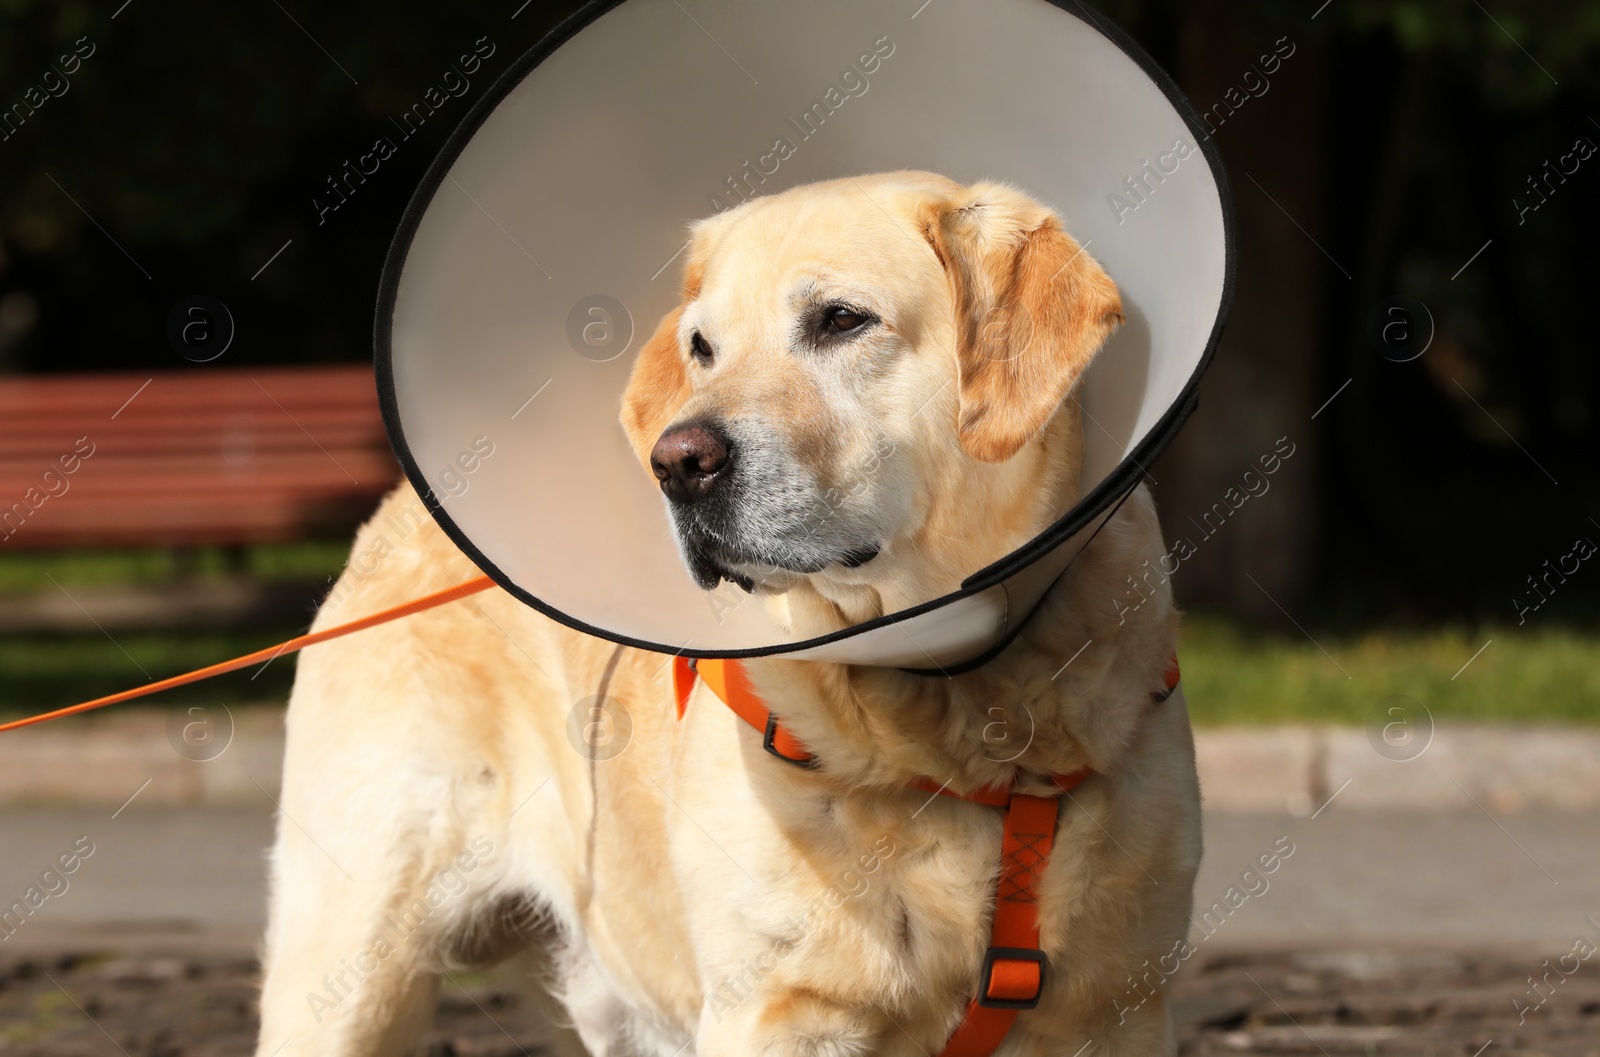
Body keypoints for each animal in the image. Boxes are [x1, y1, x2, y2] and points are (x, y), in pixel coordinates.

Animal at [252, 173, 1203, 1055]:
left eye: (841, 320)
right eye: (701, 347)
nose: (677, 461)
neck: (962, 730)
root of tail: (400, 507)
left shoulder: (1119, 1009)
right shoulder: (773, 1012)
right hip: (350, 967)